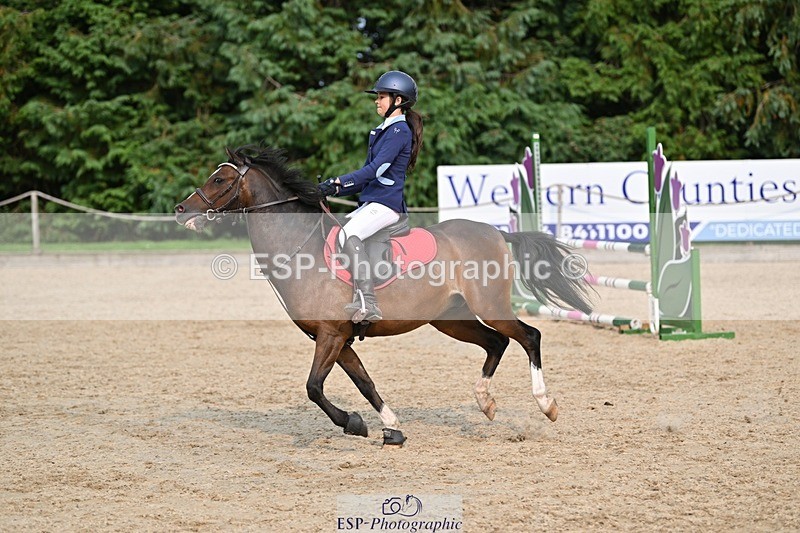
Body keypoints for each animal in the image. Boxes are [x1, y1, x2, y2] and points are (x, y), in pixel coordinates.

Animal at [175, 145, 593, 446]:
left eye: (220, 180)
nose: (180, 210)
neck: (300, 249)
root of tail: (494, 231)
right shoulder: (338, 339)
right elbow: (364, 383)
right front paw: (389, 427)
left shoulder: (330, 335)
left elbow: (313, 387)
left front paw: (354, 423)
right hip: (450, 319)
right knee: (496, 343)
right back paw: (485, 403)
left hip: (489, 307)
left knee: (528, 336)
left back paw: (546, 404)